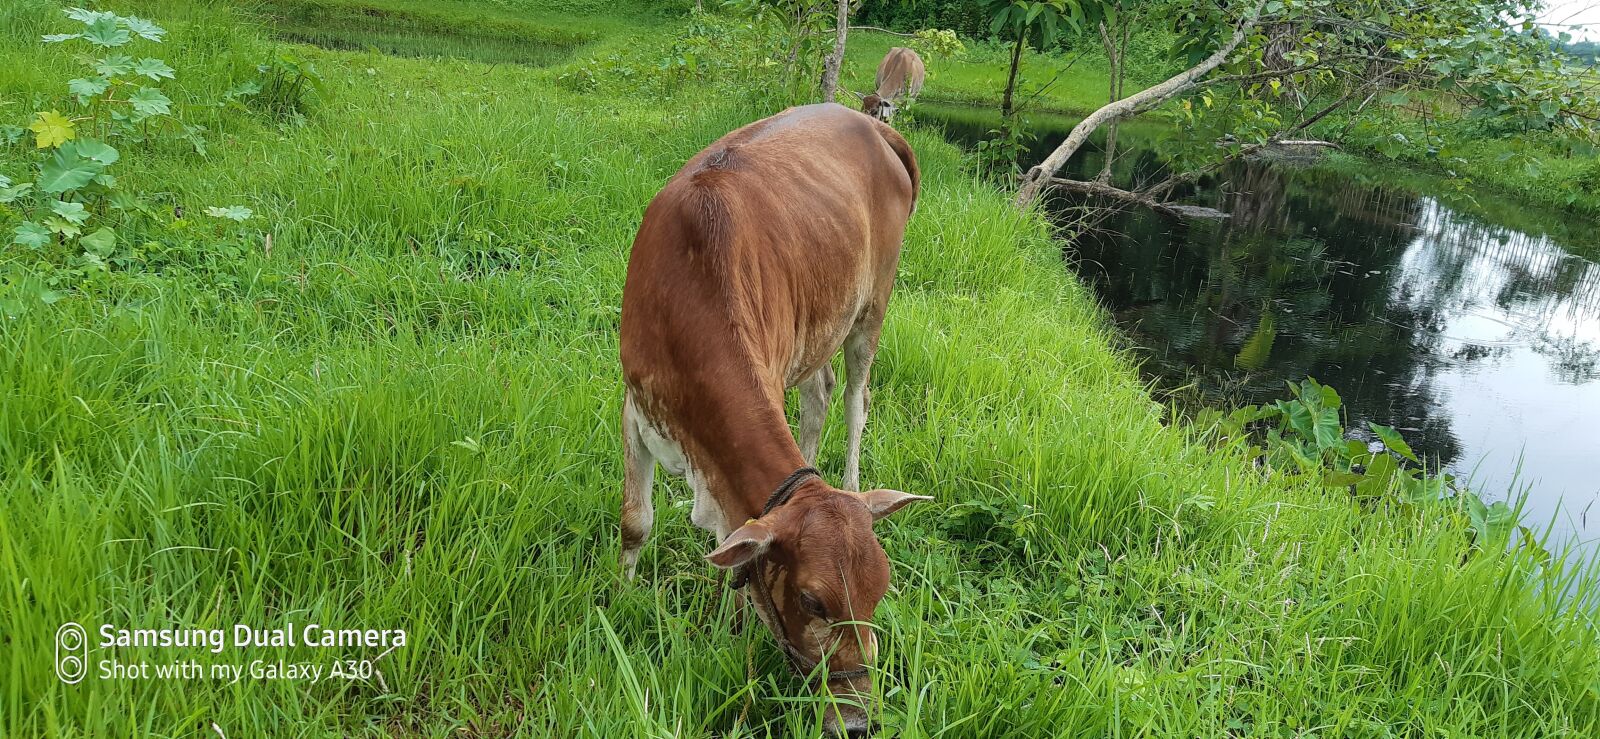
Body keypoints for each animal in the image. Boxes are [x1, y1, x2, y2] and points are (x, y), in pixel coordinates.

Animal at [618, 103, 927, 737]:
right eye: (813, 602)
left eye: (880, 593)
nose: (857, 721)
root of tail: (872, 123)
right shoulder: (636, 408)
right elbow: (637, 522)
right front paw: (617, 601)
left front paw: (728, 628)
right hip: (820, 327)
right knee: (822, 393)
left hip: (872, 308)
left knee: (855, 400)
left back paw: (854, 482)